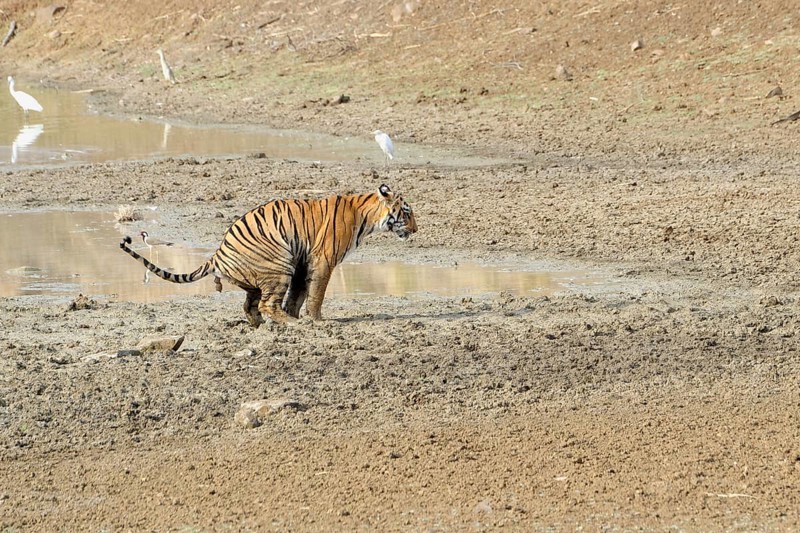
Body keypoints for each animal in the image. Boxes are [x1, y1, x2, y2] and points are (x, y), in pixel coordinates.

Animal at [119, 184, 417, 327]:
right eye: (407, 212)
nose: (416, 229)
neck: (367, 215)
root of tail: (217, 253)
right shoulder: (322, 260)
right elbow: (316, 293)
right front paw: (316, 320)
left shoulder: (302, 262)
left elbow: (298, 294)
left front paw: (298, 314)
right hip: (278, 264)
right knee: (266, 304)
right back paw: (289, 323)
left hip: (267, 272)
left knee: (250, 305)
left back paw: (262, 324)